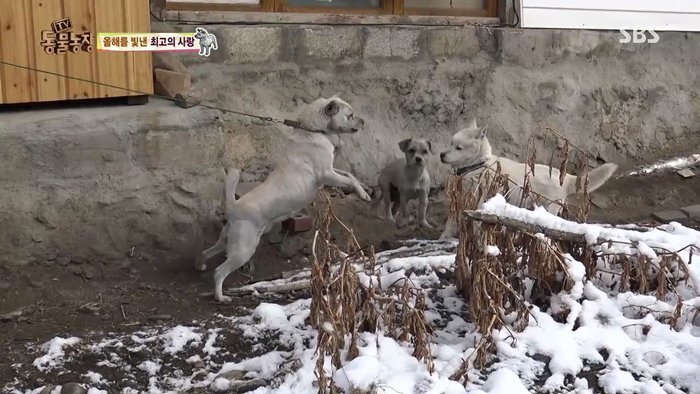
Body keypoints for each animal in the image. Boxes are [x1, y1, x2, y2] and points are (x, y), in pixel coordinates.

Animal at [194, 94, 370, 302]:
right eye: (350, 115)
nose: (363, 121)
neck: (313, 131)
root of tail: (234, 207)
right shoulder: (327, 175)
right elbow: (349, 180)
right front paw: (363, 194)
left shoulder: (332, 170)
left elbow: (350, 175)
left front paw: (365, 189)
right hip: (243, 250)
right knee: (219, 272)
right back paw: (220, 296)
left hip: (227, 241)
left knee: (206, 252)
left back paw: (200, 266)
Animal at [438, 118, 616, 239]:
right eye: (450, 143)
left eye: (459, 148)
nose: (441, 154)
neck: (476, 166)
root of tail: (565, 178)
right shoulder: (459, 199)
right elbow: (450, 221)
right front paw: (445, 236)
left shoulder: (481, 198)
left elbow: (475, 219)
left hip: (550, 206)